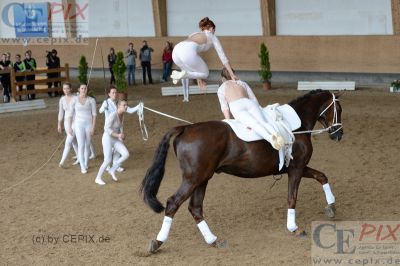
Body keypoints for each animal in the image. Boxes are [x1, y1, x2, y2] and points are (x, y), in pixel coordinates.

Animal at [141, 89, 344, 251]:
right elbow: (292, 197)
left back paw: (213, 240)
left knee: (195, 208)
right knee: (173, 204)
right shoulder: (296, 168)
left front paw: (331, 207)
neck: (296, 125)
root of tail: (185, 128)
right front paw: (294, 228)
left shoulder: (297, 168)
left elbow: (322, 176)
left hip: (202, 179)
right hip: (193, 179)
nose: (339, 134)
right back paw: (158, 242)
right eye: (339, 110)